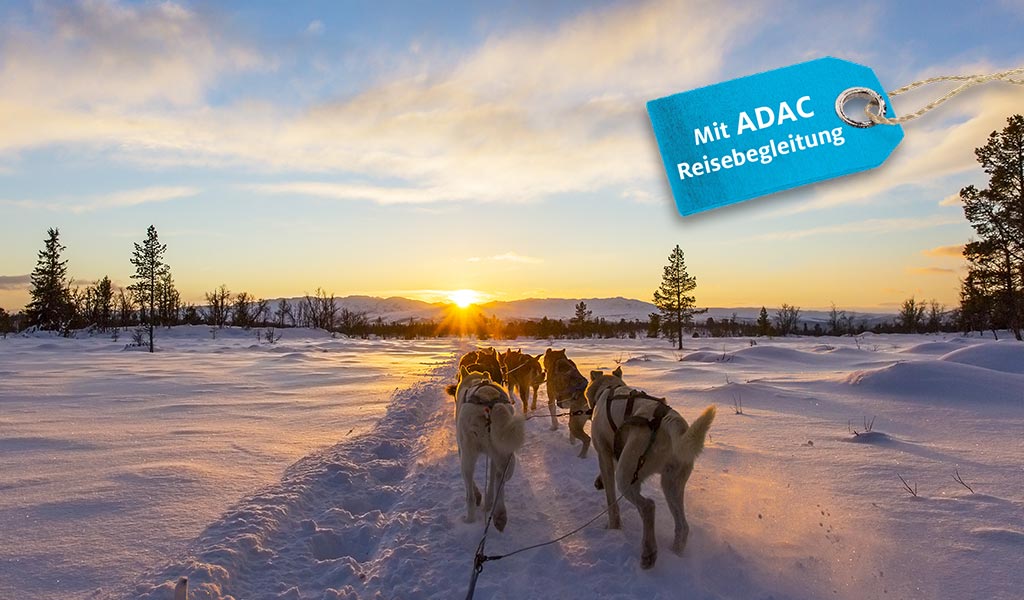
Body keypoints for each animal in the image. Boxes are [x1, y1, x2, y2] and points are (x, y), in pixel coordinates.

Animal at [450, 364, 528, 528]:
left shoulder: (462, 450)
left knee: (470, 494)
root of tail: (490, 404)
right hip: (503, 452)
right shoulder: (492, 457)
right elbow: (492, 479)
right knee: (499, 479)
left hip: (468, 456)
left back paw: (470, 519)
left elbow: (473, 487)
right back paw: (498, 512)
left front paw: (479, 497)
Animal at [589, 366, 716, 569]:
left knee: (648, 506)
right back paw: (675, 552)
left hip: (626, 477)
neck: (608, 389)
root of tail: (669, 421)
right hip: (671, 483)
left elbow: (611, 501)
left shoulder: (605, 454)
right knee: (682, 526)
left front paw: (613, 528)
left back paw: (648, 553)